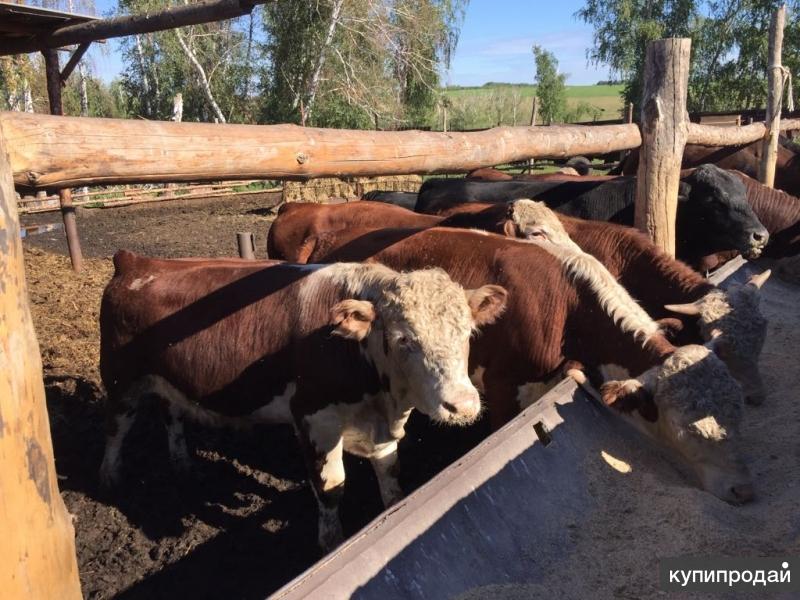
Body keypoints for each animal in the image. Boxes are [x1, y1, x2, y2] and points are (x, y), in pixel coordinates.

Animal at [98, 251, 506, 552]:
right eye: (403, 338)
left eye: (468, 332)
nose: (462, 405)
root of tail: (138, 262)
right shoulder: (315, 420)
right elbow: (331, 487)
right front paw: (331, 542)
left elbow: (390, 471)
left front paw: (396, 508)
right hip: (120, 379)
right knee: (116, 427)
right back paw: (110, 477)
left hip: (168, 379)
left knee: (171, 414)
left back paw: (182, 463)